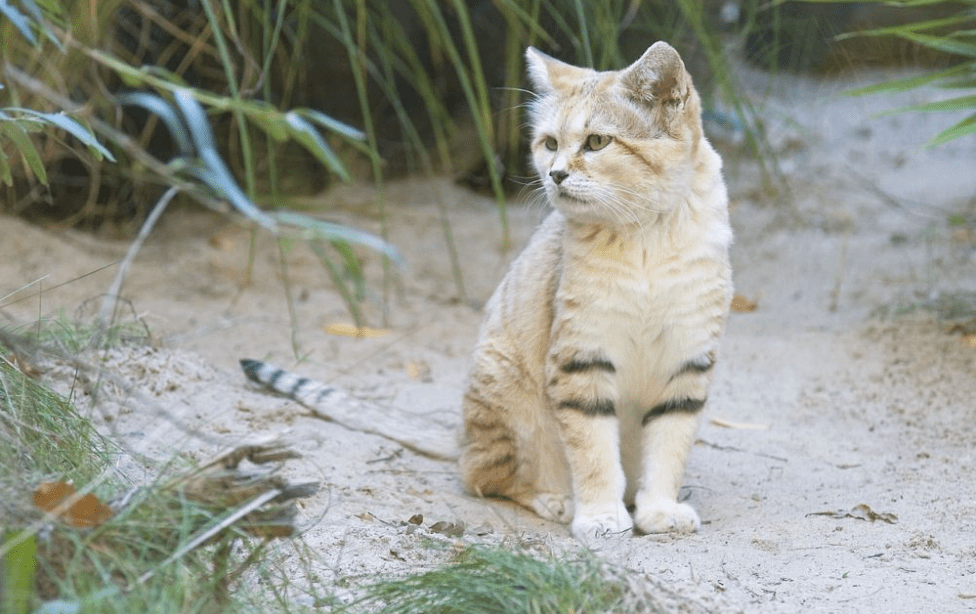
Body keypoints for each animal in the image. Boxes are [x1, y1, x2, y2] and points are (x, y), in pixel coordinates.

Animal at [460, 42, 732, 540]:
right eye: (549, 143)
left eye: (597, 142)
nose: (555, 174)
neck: (646, 237)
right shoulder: (581, 355)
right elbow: (592, 450)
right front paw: (602, 514)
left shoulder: (687, 358)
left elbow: (670, 443)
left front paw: (659, 509)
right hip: (503, 395)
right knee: (484, 476)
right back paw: (557, 500)